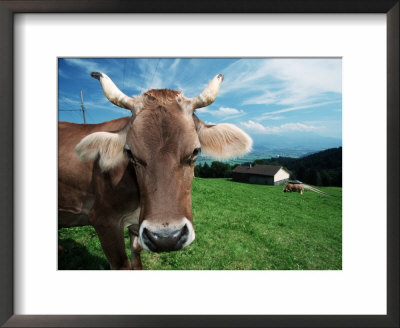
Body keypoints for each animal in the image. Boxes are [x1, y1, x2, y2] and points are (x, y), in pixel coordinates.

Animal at [58, 72, 253, 270]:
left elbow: (137, 257)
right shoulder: (104, 221)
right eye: (130, 153)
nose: (166, 238)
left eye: (195, 151)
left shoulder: (137, 227)